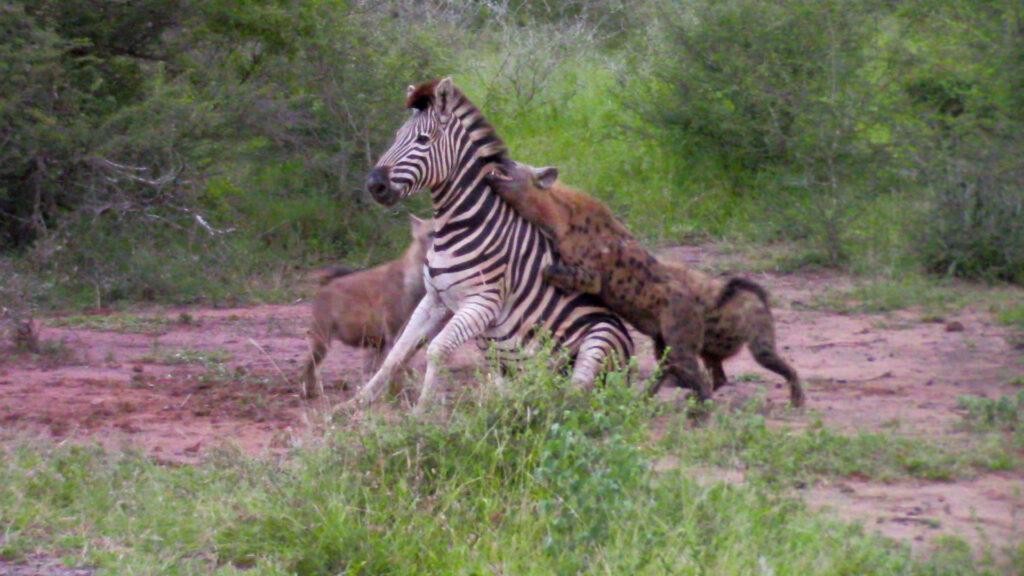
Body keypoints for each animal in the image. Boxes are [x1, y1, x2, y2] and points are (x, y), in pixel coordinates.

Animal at [354, 77, 630, 412]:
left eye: (422, 140)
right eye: (396, 137)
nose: (375, 185)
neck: (459, 225)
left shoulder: (482, 302)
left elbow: (436, 351)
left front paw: (420, 412)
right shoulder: (434, 299)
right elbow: (397, 353)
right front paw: (355, 403)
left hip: (598, 340)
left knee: (578, 395)